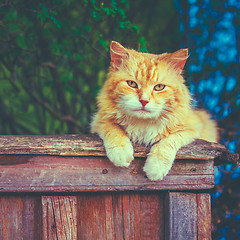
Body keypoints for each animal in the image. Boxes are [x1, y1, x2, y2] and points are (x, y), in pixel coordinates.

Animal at [90, 40, 218, 180]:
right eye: (132, 84)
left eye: (159, 87)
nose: (144, 101)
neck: (142, 123)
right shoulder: (99, 121)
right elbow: (114, 130)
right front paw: (121, 153)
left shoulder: (194, 128)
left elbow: (168, 141)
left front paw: (156, 168)